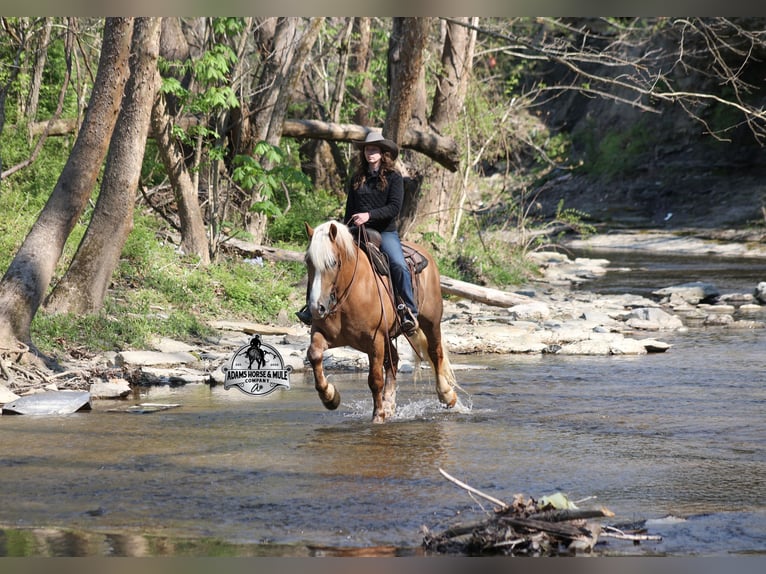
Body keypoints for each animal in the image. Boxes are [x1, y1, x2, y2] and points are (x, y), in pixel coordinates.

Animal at [302, 220, 458, 423]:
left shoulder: (374, 340)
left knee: (435, 352)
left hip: (431, 322)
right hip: (388, 337)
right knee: (394, 360)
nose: (316, 308)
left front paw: (378, 416)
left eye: (332, 262)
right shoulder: (322, 333)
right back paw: (389, 405)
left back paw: (446, 395)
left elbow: (375, 379)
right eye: (307, 262)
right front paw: (330, 397)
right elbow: (314, 355)